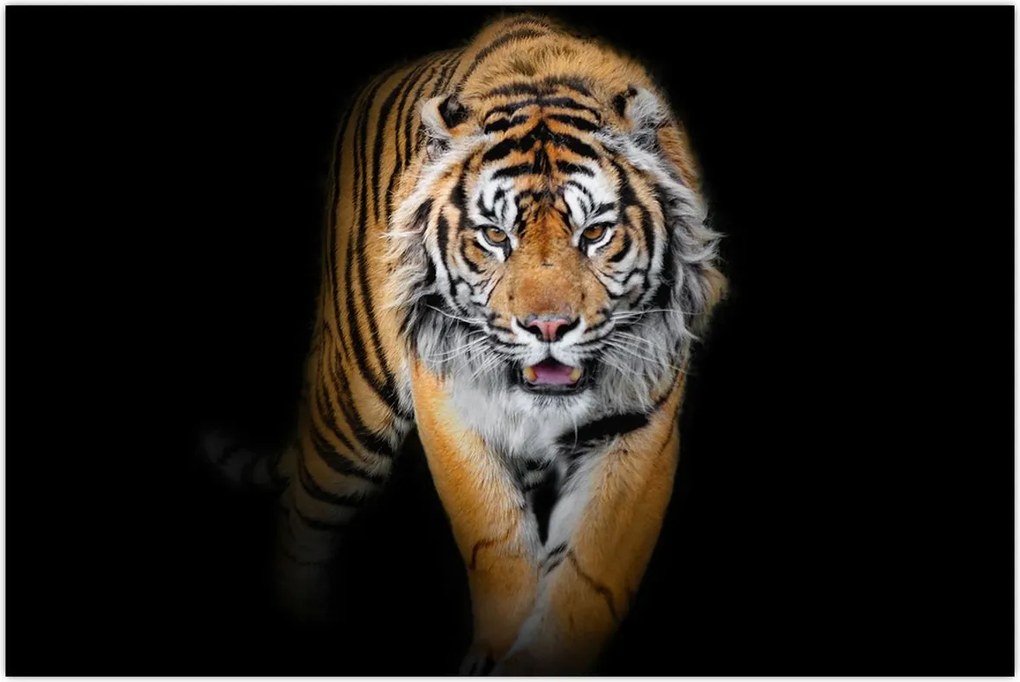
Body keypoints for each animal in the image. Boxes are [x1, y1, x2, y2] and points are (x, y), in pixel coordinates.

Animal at [204, 12, 725, 675]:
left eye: (596, 233)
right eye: (495, 236)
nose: (547, 327)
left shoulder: (639, 424)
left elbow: (590, 575)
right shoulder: (450, 401)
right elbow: (495, 539)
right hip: (353, 408)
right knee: (303, 517)